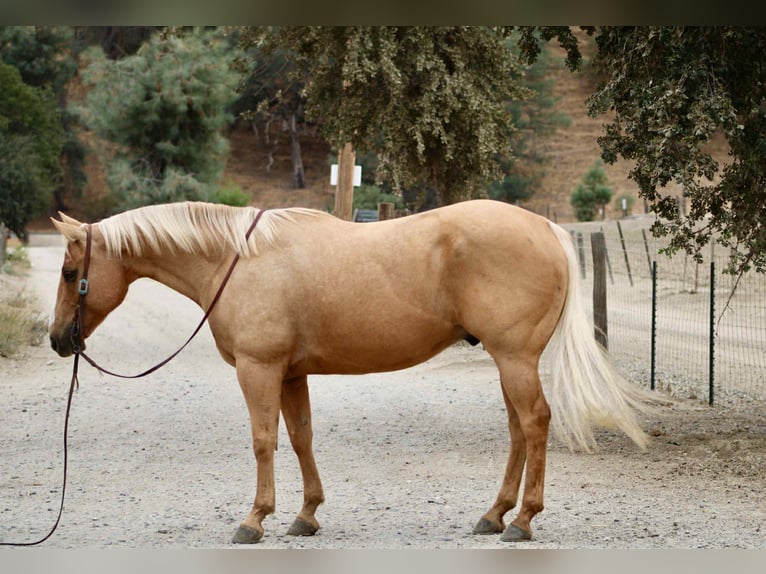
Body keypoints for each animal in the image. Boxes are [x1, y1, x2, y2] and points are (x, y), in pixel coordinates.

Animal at [48, 199, 657, 544]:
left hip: (515, 359)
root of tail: (547, 228)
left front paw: (255, 520)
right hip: (509, 361)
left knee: (533, 424)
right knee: (517, 431)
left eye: (70, 272)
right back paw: (495, 515)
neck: (238, 258)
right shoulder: (290, 374)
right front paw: (306, 515)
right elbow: (300, 438)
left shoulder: (258, 370)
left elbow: (264, 440)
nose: (59, 340)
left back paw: (524, 521)